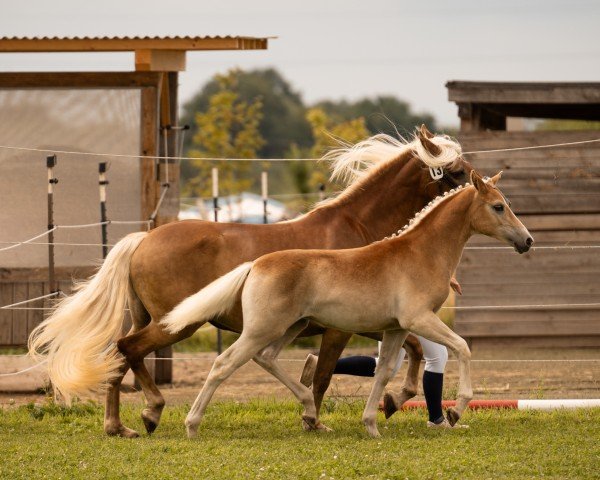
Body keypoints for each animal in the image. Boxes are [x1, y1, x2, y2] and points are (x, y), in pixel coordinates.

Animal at [163, 171, 528, 436]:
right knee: (223, 364)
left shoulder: (396, 330)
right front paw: (455, 411)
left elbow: (384, 372)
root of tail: (254, 264)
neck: (420, 253)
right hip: (262, 329)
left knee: (266, 358)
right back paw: (192, 426)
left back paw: (309, 409)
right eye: (498, 206)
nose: (527, 240)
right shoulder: (419, 320)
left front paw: (372, 424)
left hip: (289, 328)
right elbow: (462, 347)